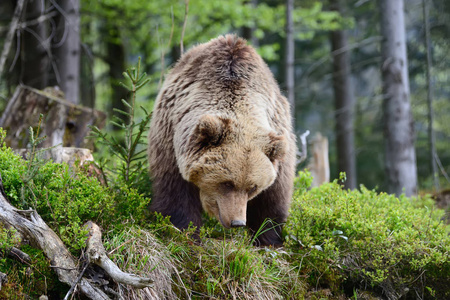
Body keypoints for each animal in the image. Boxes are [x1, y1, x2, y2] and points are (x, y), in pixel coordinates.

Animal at [147, 34, 296, 246]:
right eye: (227, 183)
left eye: (253, 187)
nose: (237, 222)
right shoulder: (171, 138)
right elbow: (175, 192)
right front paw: (184, 232)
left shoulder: (278, 144)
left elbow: (271, 199)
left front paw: (268, 238)